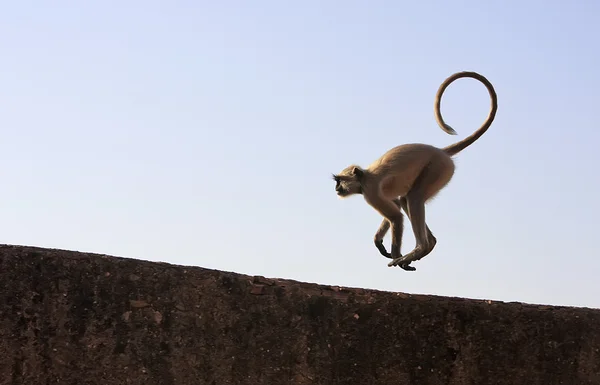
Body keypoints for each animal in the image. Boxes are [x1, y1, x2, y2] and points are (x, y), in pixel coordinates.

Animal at [332, 71, 496, 270]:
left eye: (339, 180)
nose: (336, 189)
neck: (364, 176)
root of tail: (440, 151)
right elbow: (396, 205)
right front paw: (379, 241)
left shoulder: (370, 191)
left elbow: (396, 216)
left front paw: (395, 253)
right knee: (405, 199)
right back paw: (427, 246)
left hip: (438, 168)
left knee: (414, 197)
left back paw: (419, 249)